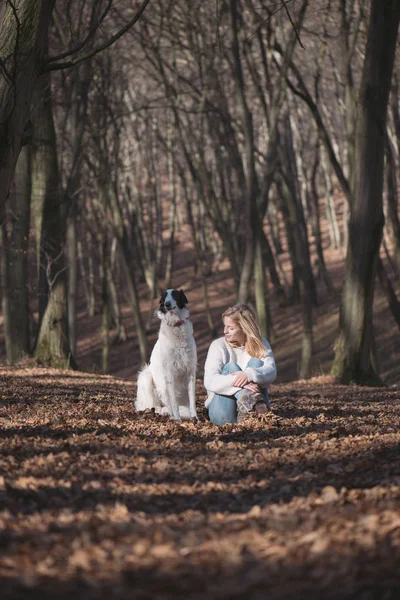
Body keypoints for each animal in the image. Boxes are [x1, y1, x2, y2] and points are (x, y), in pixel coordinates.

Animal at [134, 288, 197, 420]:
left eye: (174, 294)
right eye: (164, 297)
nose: (167, 304)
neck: (176, 326)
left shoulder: (190, 371)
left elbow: (192, 402)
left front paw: (196, 419)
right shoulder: (169, 372)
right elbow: (174, 403)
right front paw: (177, 420)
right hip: (146, 377)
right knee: (154, 407)